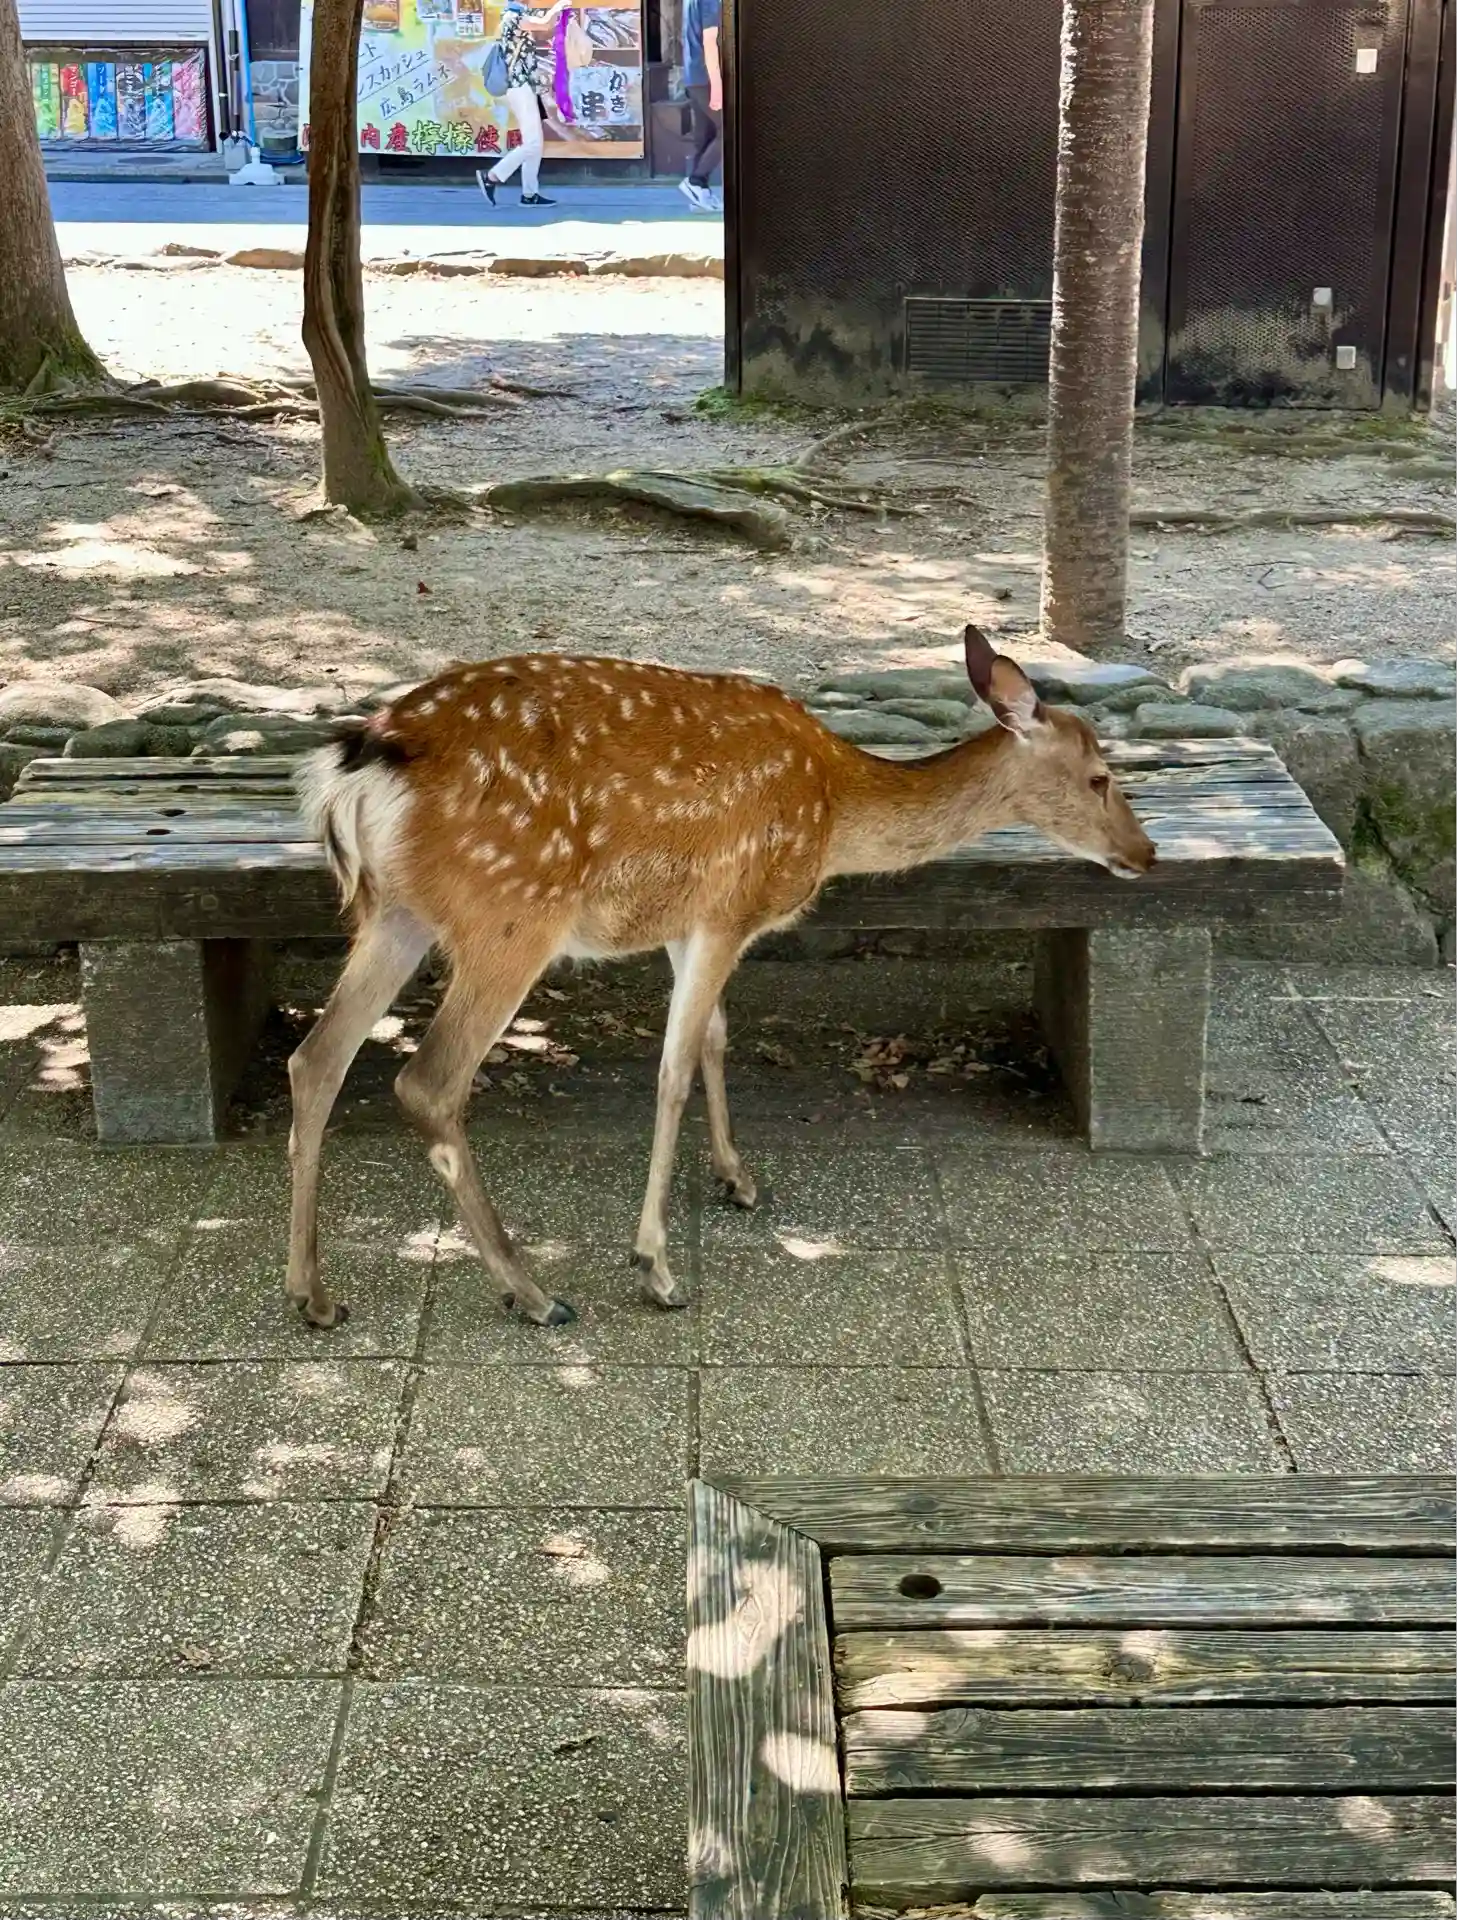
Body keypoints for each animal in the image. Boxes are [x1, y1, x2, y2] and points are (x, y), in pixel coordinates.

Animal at [288, 625, 1155, 1330]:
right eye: (1098, 776)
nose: (1144, 853)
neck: (832, 813)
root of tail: (357, 769)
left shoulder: (685, 921)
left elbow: (713, 1037)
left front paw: (737, 1177)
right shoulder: (728, 907)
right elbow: (671, 1069)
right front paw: (657, 1268)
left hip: (395, 911)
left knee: (316, 1058)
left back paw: (313, 1295)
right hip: (510, 912)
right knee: (427, 1081)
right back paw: (532, 1292)